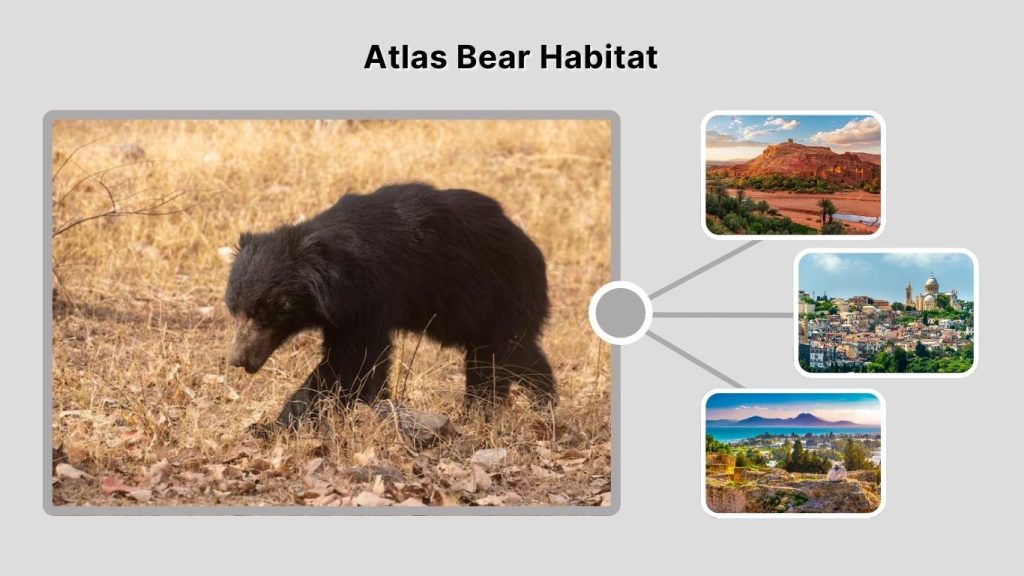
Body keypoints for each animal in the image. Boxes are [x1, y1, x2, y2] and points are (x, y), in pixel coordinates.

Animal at [225, 183, 555, 431]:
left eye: (267, 311)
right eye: (235, 309)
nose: (238, 359)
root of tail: (533, 248)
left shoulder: (367, 298)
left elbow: (351, 363)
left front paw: (273, 427)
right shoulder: (343, 314)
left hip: (499, 295)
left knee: (498, 359)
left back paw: (490, 410)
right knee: (512, 355)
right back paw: (542, 400)